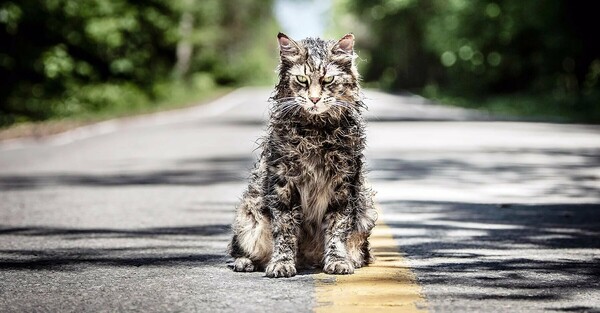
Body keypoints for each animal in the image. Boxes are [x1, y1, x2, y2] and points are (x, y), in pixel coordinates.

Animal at [227, 31, 378, 276]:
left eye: (328, 80)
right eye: (301, 80)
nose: (314, 99)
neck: (316, 132)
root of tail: (306, 260)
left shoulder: (343, 184)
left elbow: (337, 228)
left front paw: (338, 260)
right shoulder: (283, 183)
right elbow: (285, 229)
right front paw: (282, 263)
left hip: (366, 211)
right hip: (248, 215)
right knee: (241, 249)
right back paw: (246, 262)